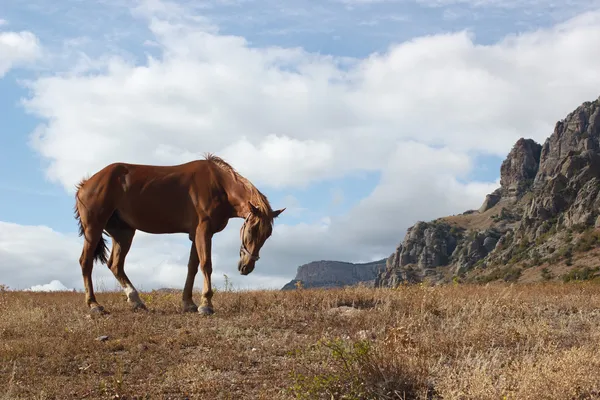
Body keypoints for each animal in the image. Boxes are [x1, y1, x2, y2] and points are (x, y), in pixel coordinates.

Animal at [72, 155, 284, 314]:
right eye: (251, 230)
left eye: (268, 234)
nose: (246, 267)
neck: (218, 184)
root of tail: (85, 184)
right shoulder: (203, 231)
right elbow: (206, 265)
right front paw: (206, 304)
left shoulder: (195, 235)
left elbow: (192, 267)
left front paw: (189, 303)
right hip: (94, 228)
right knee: (86, 262)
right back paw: (94, 305)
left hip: (124, 233)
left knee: (115, 265)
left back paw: (136, 300)